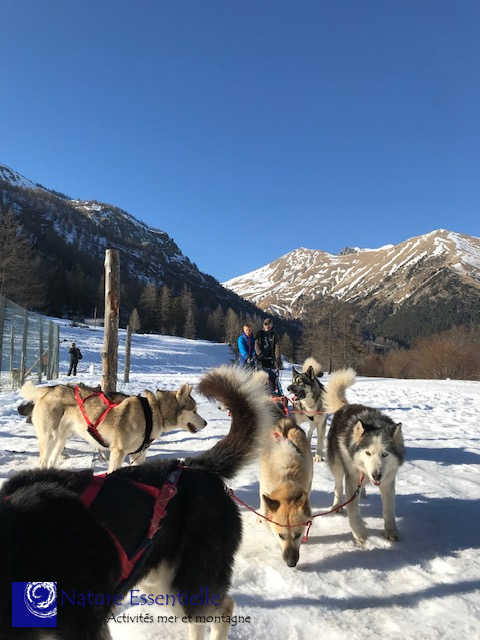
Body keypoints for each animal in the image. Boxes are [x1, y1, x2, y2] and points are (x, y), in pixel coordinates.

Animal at [20, 380, 208, 472]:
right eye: (194, 410)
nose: (206, 423)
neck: (154, 411)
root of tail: (50, 389)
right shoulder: (118, 452)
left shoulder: (138, 456)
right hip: (49, 438)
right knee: (43, 461)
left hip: (60, 440)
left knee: (51, 461)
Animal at [325, 368, 405, 544]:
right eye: (368, 453)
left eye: (385, 454)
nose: (376, 475)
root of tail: (346, 406)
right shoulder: (352, 478)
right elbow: (353, 510)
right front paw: (359, 532)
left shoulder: (388, 481)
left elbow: (389, 510)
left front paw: (391, 531)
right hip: (338, 465)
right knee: (338, 486)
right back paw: (337, 505)